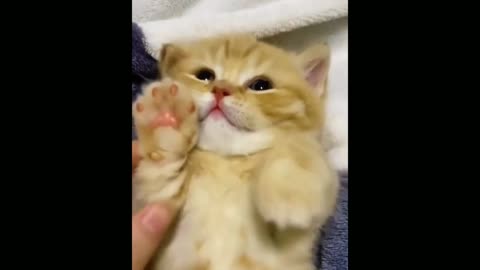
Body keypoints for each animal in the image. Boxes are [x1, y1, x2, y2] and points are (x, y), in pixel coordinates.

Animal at [133, 34, 340, 268]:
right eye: (205, 75)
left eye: (261, 85)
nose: (220, 89)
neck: (227, 162)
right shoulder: (153, 209)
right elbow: (162, 173)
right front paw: (166, 114)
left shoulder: (294, 243)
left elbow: (300, 145)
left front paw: (290, 191)